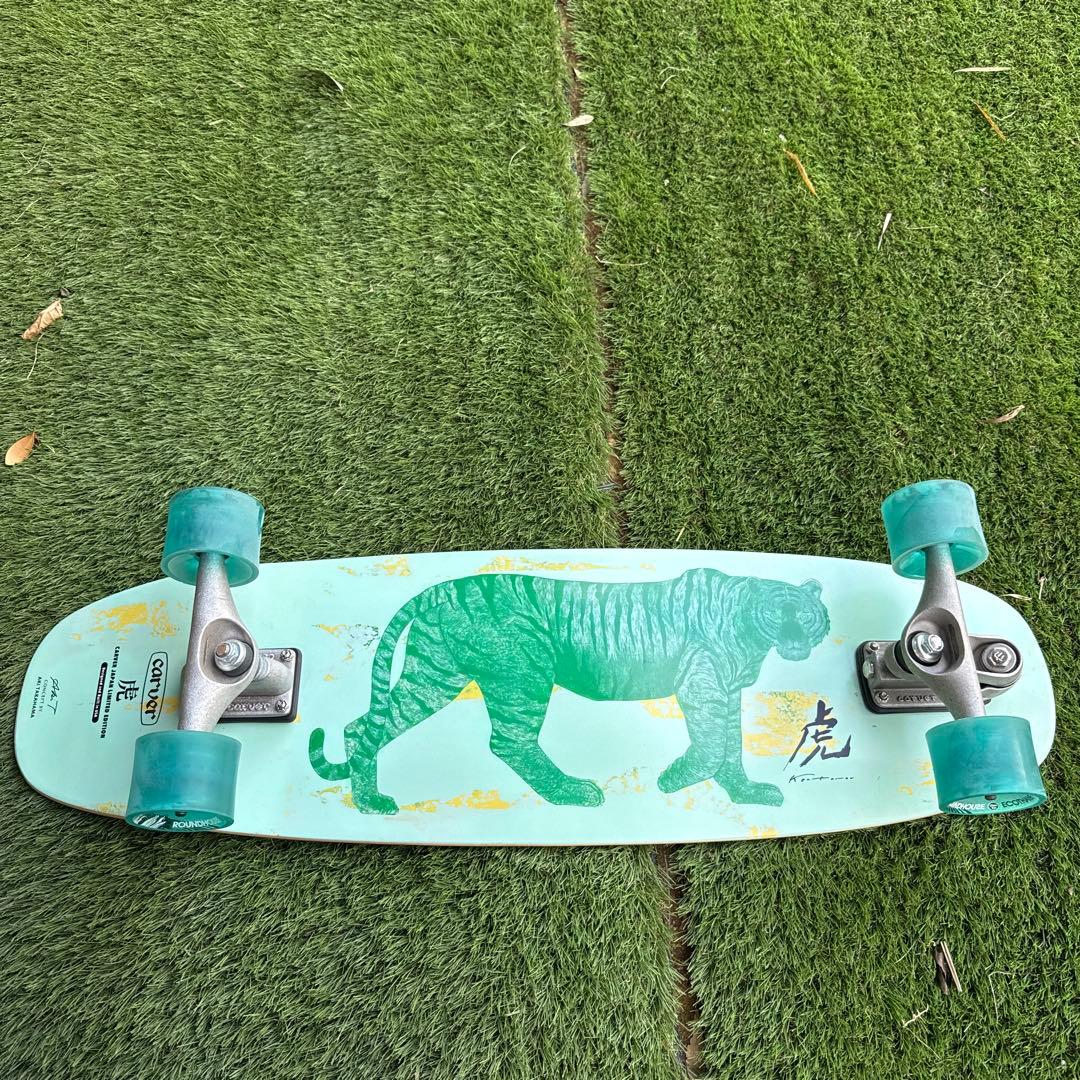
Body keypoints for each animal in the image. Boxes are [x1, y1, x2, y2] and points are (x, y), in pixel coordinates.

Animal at [308, 568, 829, 813]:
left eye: (804, 617)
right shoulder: (702, 685)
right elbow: (713, 746)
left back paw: (370, 804)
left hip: (434, 674)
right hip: (522, 675)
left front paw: (746, 793)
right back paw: (572, 793)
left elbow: (730, 746)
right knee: (509, 742)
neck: (749, 628)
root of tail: (439, 589)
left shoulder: (726, 689)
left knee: (362, 727)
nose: (797, 644)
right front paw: (672, 780)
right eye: (776, 616)